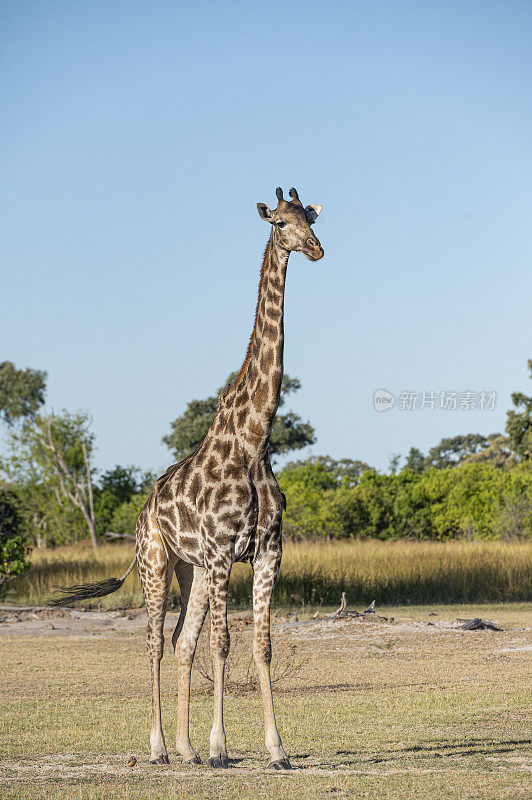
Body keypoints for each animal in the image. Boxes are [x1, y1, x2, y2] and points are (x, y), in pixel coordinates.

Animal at [50, 188, 324, 768]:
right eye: (281, 222)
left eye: (311, 218)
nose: (316, 249)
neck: (255, 440)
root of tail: (142, 512)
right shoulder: (223, 552)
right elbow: (224, 644)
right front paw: (223, 746)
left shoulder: (267, 551)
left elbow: (261, 644)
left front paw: (276, 750)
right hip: (157, 562)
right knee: (155, 641)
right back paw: (158, 747)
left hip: (188, 570)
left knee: (181, 640)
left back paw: (186, 747)